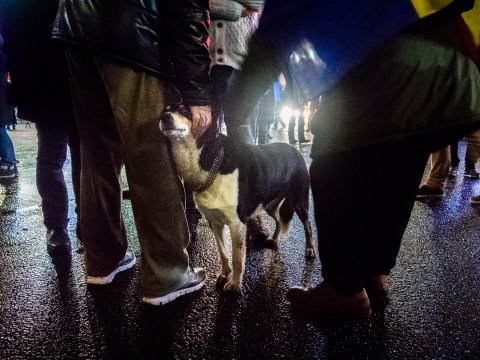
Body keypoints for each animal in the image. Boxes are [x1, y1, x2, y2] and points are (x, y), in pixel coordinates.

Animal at [160, 107, 316, 292]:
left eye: (184, 110)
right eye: (166, 110)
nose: (164, 117)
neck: (212, 163)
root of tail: (294, 150)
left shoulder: (236, 224)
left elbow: (237, 257)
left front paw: (234, 284)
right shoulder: (215, 222)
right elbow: (223, 253)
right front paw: (224, 275)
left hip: (299, 202)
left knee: (308, 225)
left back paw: (310, 249)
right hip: (269, 204)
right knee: (279, 219)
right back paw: (273, 239)